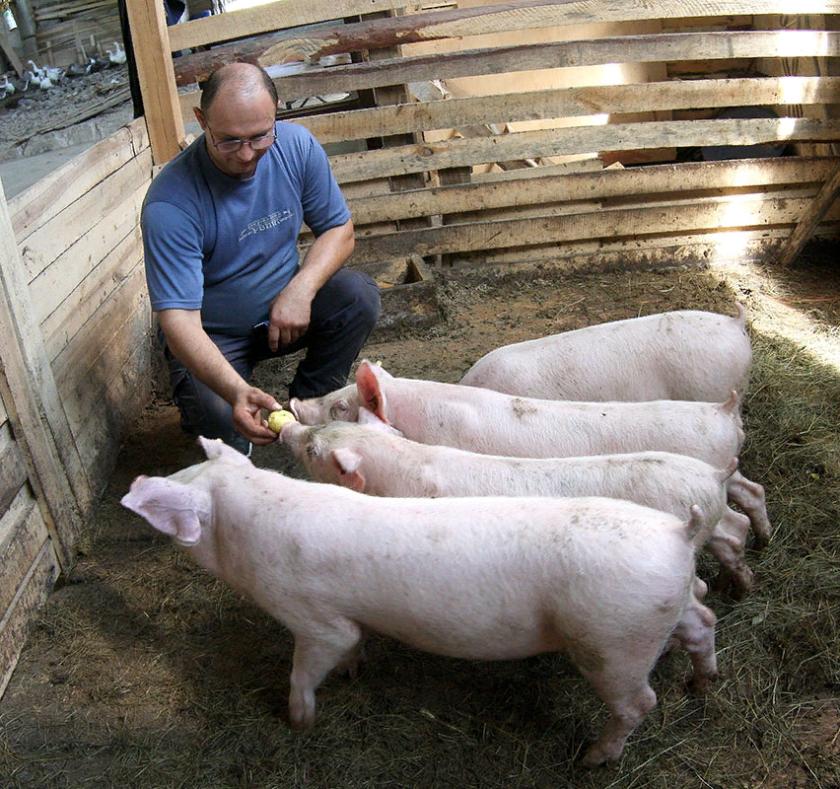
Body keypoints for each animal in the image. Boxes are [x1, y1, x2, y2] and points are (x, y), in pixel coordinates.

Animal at [121, 437, 718, 767]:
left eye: (178, 484)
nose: (135, 483)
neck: (244, 531)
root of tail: (678, 534)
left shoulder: (313, 617)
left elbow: (308, 666)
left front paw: (298, 723)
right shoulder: (347, 619)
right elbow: (354, 646)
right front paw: (354, 673)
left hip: (613, 640)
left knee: (639, 702)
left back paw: (592, 759)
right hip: (667, 608)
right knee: (704, 619)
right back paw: (701, 685)